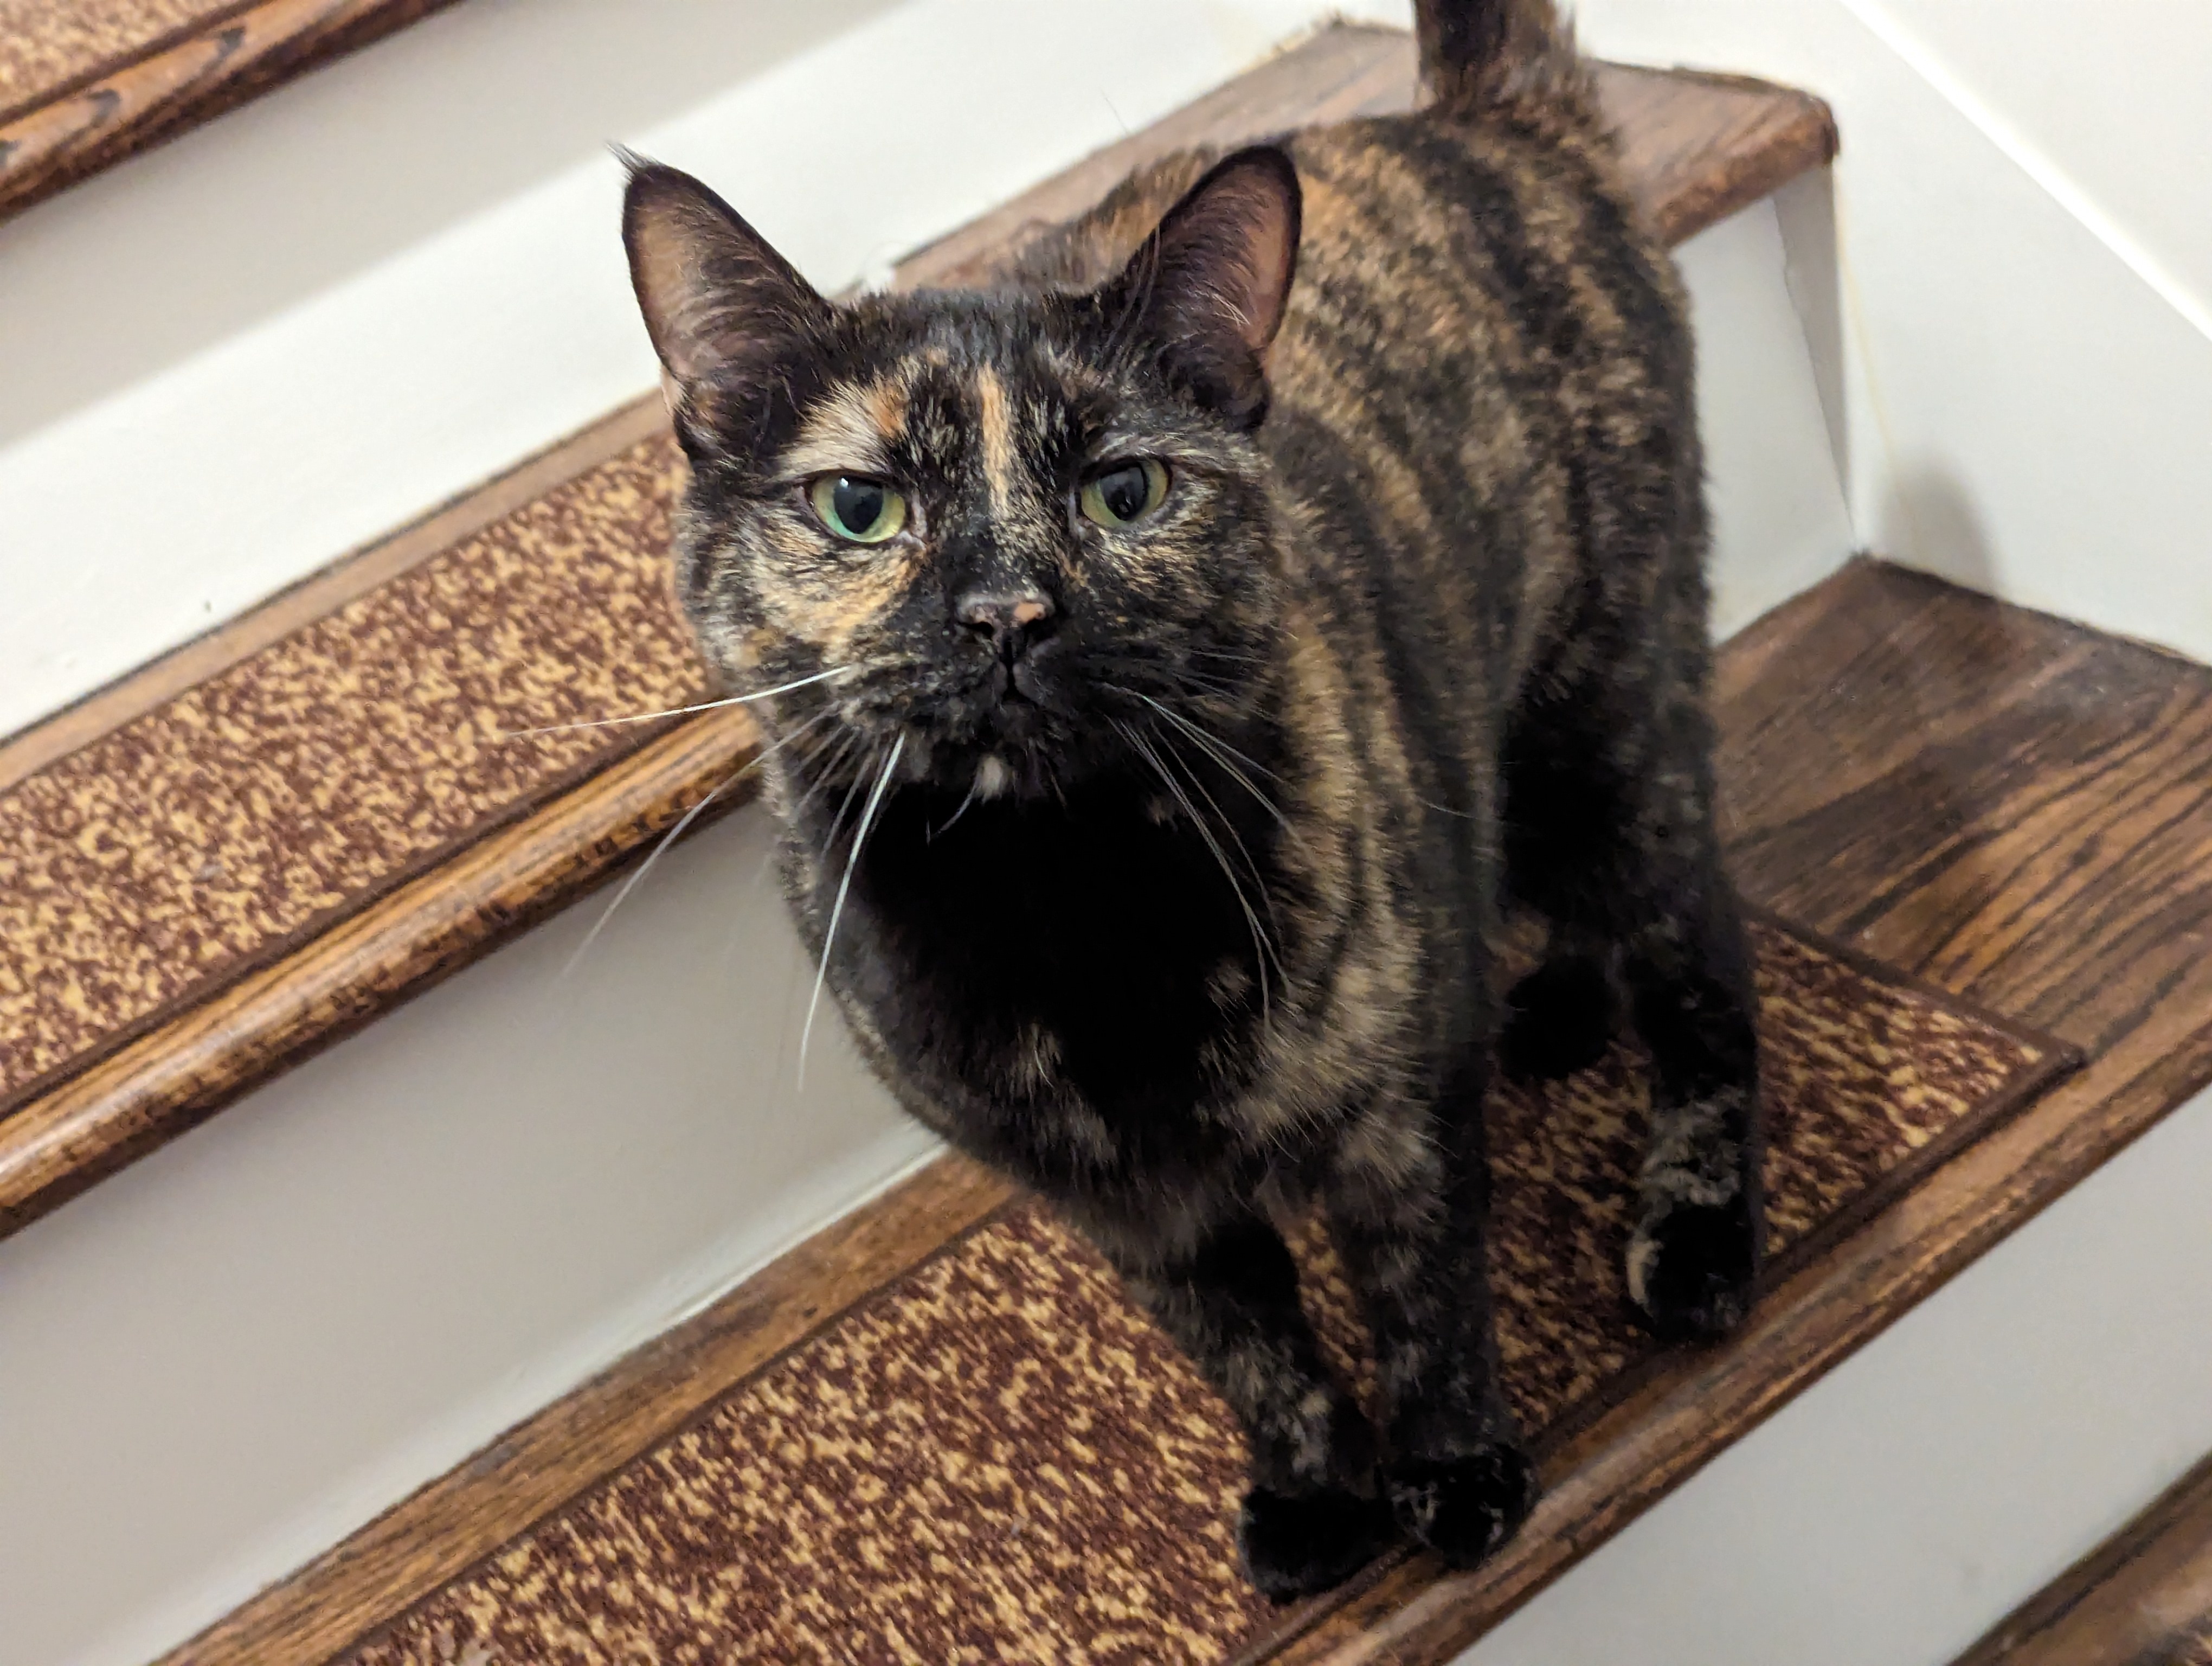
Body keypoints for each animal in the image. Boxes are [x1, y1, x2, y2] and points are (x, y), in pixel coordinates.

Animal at [623, 0, 1760, 1593]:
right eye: (861, 506)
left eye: (1125, 491)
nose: (1008, 612)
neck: (1062, 899)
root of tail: (1466, 121)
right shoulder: (1122, 1206)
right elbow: (1246, 1348)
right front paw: (1311, 1494)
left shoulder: (1392, 1112)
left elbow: (1419, 1295)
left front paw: (1451, 1470)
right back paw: (1547, 1007)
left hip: (1606, 726)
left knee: (1700, 963)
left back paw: (1701, 1231)